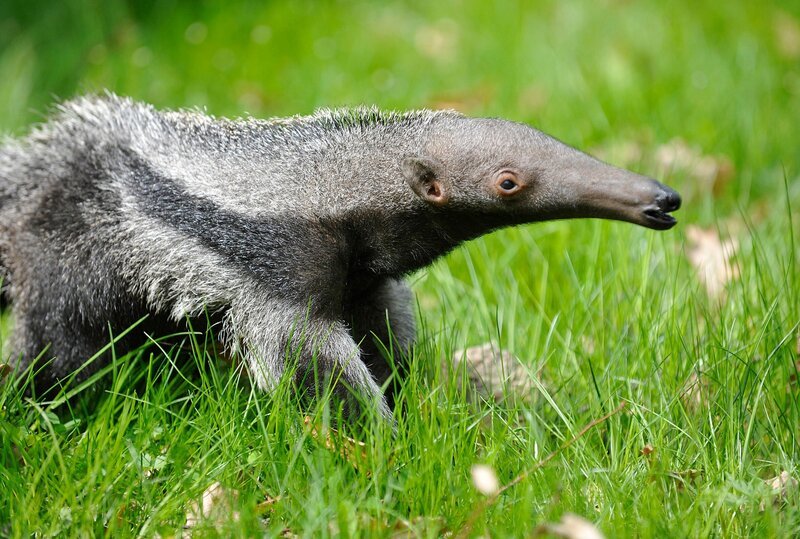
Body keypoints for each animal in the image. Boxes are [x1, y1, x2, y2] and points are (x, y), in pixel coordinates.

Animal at [0, 94, 681, 421]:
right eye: (509, 182)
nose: (663, 201)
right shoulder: (273, 264)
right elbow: (311, 354)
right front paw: (375, 439)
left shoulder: (363, 276)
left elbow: (384, 329)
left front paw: (406, 394)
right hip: (75, 253)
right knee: (64, 347)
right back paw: (47, 405)